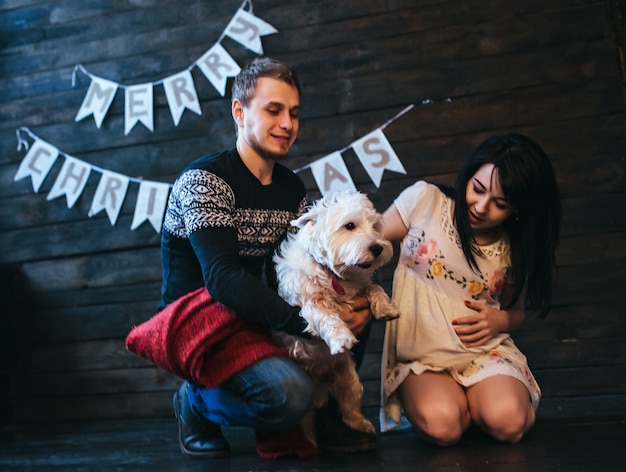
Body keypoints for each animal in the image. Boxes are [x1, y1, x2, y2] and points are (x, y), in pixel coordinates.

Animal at [270, 190, 398, 444]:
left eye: (375, 226)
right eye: (349, 225)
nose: (378, 248)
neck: (334, 275)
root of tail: (320, 384)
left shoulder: (360, 286)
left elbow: (374, 288)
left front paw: (385, 308)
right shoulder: (307, 304)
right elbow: (326, 317)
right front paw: (341, 338)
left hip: (350, 379)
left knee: (348, 407)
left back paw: (362, 426)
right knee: (305, 422)